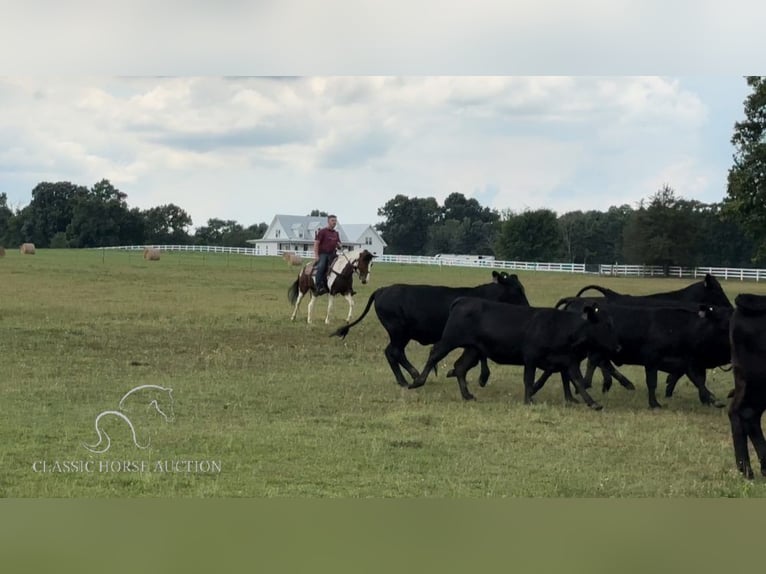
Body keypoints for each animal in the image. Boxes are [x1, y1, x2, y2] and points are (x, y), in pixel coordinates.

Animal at [330, 272, 528, 390]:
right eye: (518, 291)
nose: (528, 306)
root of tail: (382, 290)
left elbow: (480, 357)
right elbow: (479, 358)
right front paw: (480, 377)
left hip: (400, 334)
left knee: (392, 352)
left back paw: (405, 379)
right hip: (399, 332)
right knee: (394, 352)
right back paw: (412, 376)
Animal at [412, 296, 620, 410]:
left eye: (612, 324)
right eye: (606, 326)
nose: (618, 348)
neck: (562, 328)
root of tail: (462, 300)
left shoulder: (567, 361)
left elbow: (577, 381)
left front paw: (593, 403)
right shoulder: (531, 358)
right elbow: (528, 380)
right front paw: (529, 400)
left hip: (473, 349)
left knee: (460, 367)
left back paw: (467, 395)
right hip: (450, 340)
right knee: (435, 354)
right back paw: (417, 381)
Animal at [548, 302, 736, 410]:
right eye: (725, 321)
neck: (680, 328)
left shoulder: (686, 362)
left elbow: (698, 381)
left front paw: (712, 399)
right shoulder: (652, 360)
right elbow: (652, 382)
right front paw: (654, 404)